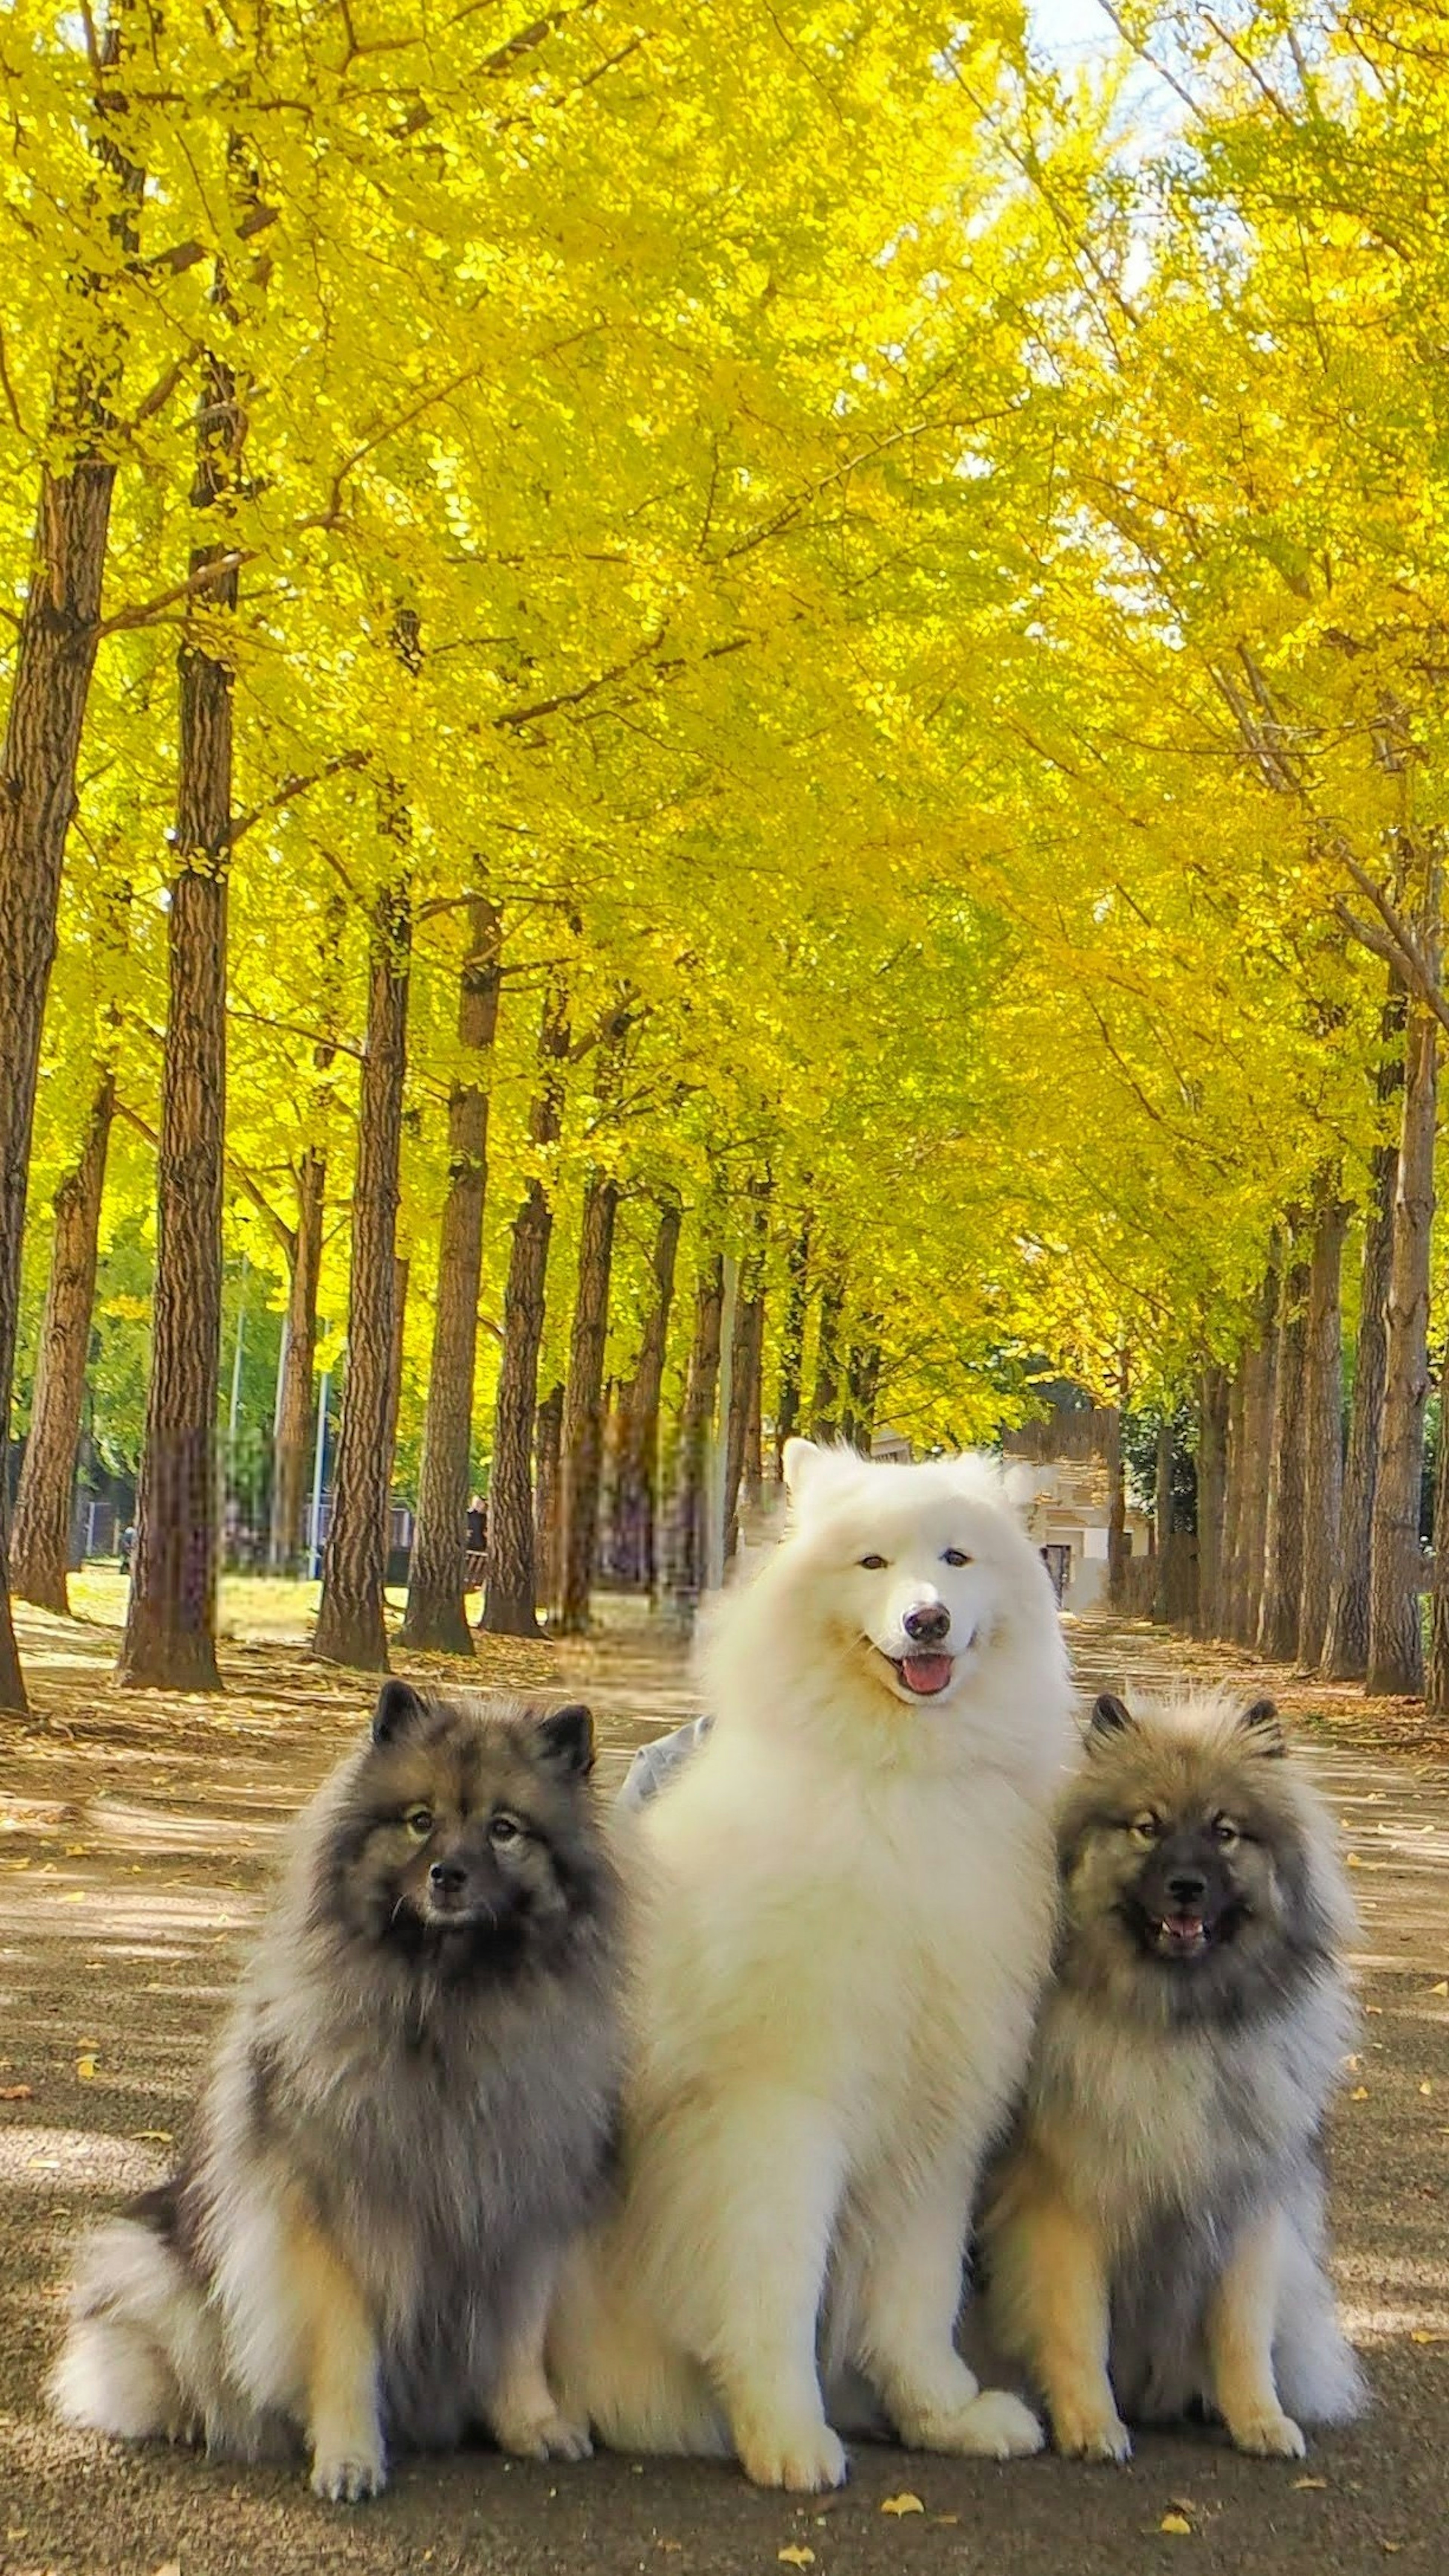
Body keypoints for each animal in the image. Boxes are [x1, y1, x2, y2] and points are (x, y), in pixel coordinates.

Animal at [48, 1679, 624, 2504]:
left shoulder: (519, 2214)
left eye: (505, 1829)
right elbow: (345, 2350)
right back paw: (196, 2413)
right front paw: (349, 2455)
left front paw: (532, 2421)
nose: (447, 1874)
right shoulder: (332, 2223)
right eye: (421, 1820)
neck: (447, 2008)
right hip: (150, 2262)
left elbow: (517, 2336)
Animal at [552, 1443, 1072, 2483]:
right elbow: (775, 2291)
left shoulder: (936, 2116)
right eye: (872, 1563)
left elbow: (916, 2299)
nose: (926, 1620)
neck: (900, 1781)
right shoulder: (778, 2111)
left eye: (955, 1558)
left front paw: (943, 2414)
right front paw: (788, 2435)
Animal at [974, 1690, 1361, 2452]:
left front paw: (1258, 2417)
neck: (1177, 2027)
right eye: (1147, 1827)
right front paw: (1091, 2422)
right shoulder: (1065, 2205)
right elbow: (1078, 2326)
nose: (1186, 1886)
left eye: (1225, 1832)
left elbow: (1243, 2329)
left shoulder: (1247, 2207)